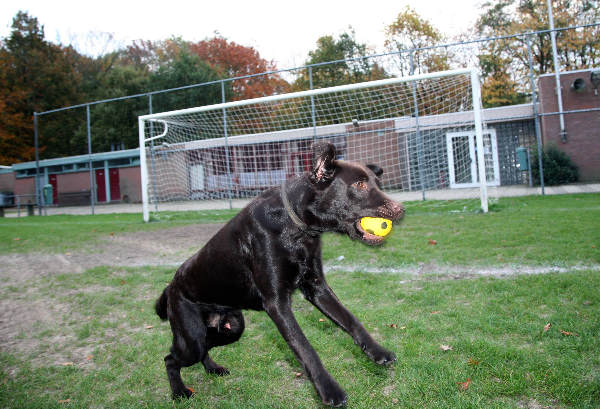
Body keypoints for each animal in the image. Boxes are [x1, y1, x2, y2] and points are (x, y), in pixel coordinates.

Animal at [156, 140, 404, 404]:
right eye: (359, 184)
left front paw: (377, 351)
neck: (296, 227)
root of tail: (171, 287)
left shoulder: (317, 288)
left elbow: (351, 320)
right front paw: (329, 390)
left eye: (377, 183)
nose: (401, 210)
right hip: (192, 339)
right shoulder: (277, 304)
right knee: (170, 358)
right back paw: (179, 391)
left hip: (230, 329)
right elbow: (305, 347)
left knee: (202, 350)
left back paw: (213, 369)